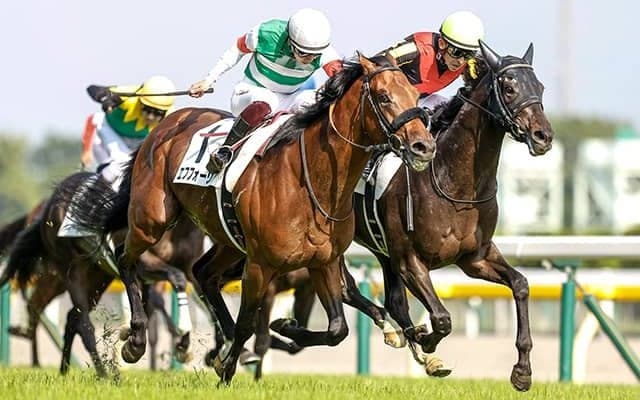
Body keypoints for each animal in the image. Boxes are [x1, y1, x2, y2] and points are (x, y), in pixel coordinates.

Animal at [67, 53, 436, 383]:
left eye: (416, 95)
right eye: (384, 97)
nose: (424, 146)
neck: (311, 184)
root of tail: (168, 123)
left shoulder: (324, 262)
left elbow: (337, 329)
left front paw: (280, 329)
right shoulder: (261, 266)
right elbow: (249, 323)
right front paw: (227, 371)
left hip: (228, 240)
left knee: (202, 274)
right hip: (152, 218)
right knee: (126, 260)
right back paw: (136, 340)